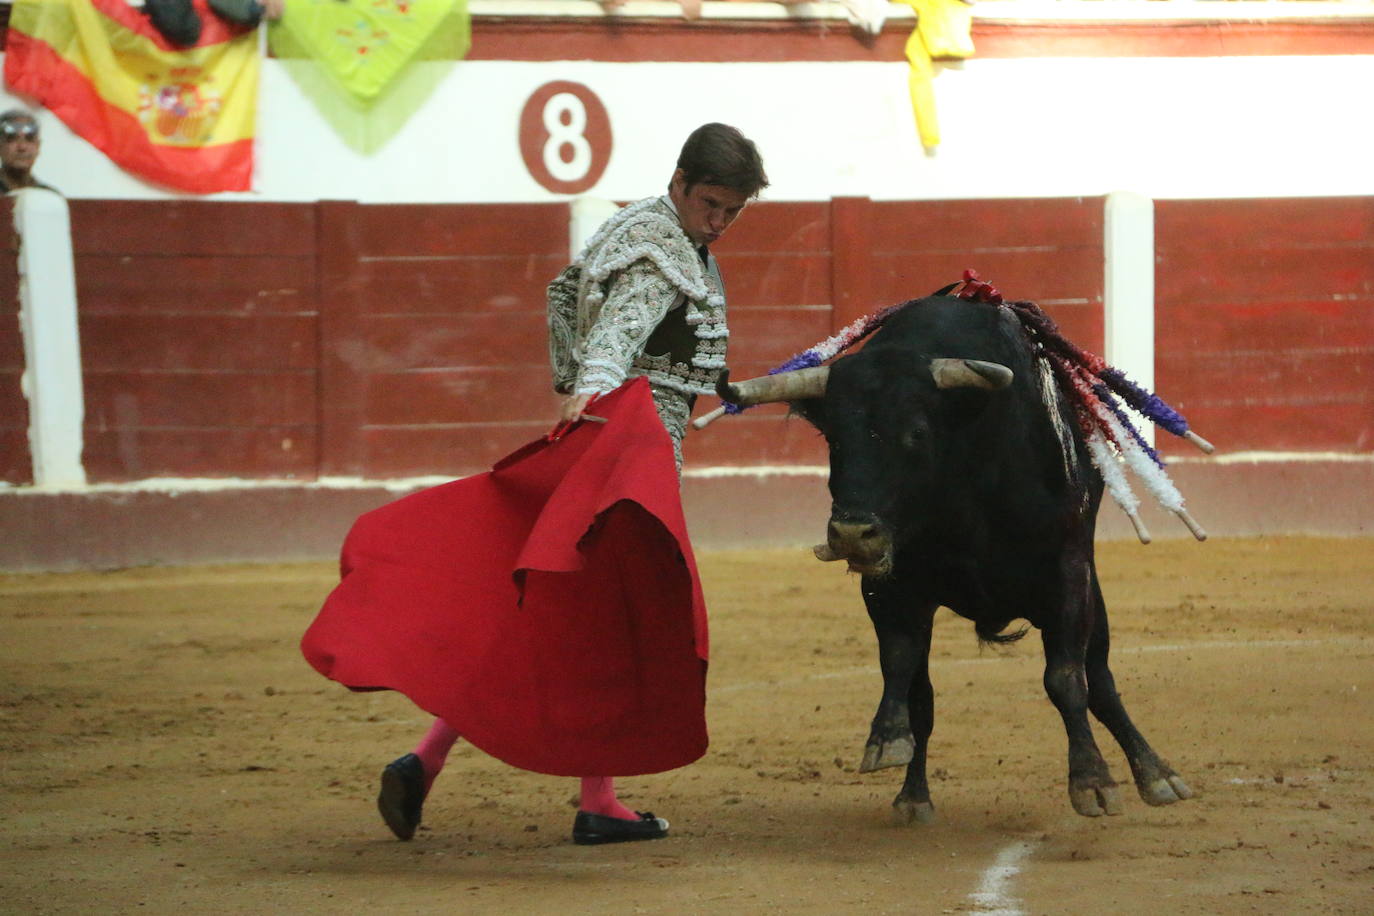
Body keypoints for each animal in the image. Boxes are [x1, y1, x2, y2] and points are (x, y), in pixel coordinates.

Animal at [719, 299, 1192, 823]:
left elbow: (1067, 679)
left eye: (917, 433)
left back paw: (1156, 774)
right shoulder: (890, 586)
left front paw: (1092, 780)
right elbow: (906, 676)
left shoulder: (1067, 573)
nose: (852, 534)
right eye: (833, 439)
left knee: (1101, 678)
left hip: (1090, 591)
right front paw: (894, 754)